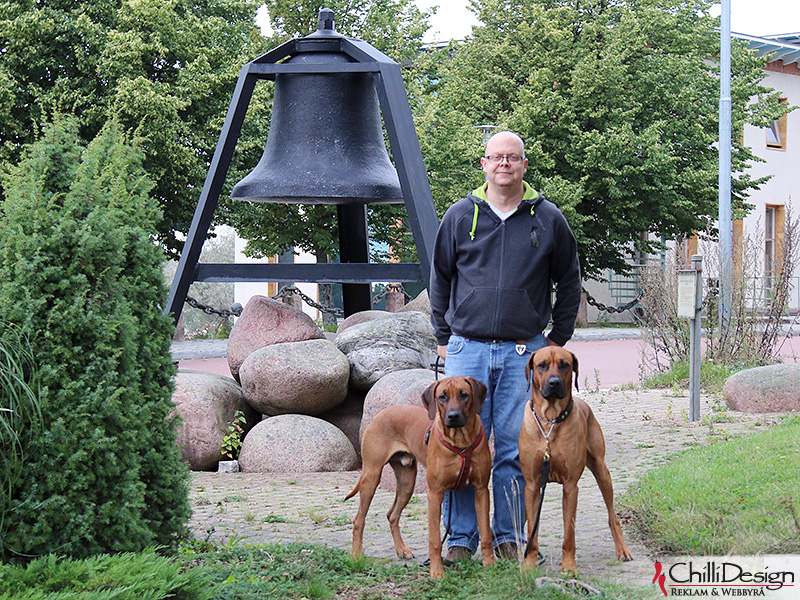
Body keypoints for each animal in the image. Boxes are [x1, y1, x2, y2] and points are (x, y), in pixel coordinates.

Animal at [344, 378, 494, 580]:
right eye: (442, 396)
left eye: (464, 394)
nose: (453, 416)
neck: (460, 440)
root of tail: (381, 413)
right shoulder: (435, 493)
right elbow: (435, 540)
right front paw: (437, 572)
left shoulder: (481, 490)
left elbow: (486, 533)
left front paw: (490, 565)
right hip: (371, 476)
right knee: (358, 520)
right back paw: (356, 555)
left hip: (407, 483)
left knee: (392, 514)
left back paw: (402, 550)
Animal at [520, 344, 632, 576]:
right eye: (541, 365)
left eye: (565, 364)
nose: (554, 383)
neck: (550, 420)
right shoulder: (532, 485)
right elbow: (532, 531)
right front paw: (529, 565)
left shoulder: (571, 486)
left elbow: (569, 534)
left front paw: (569, 568)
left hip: (602, 470)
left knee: (612, 515)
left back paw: (622, 549)